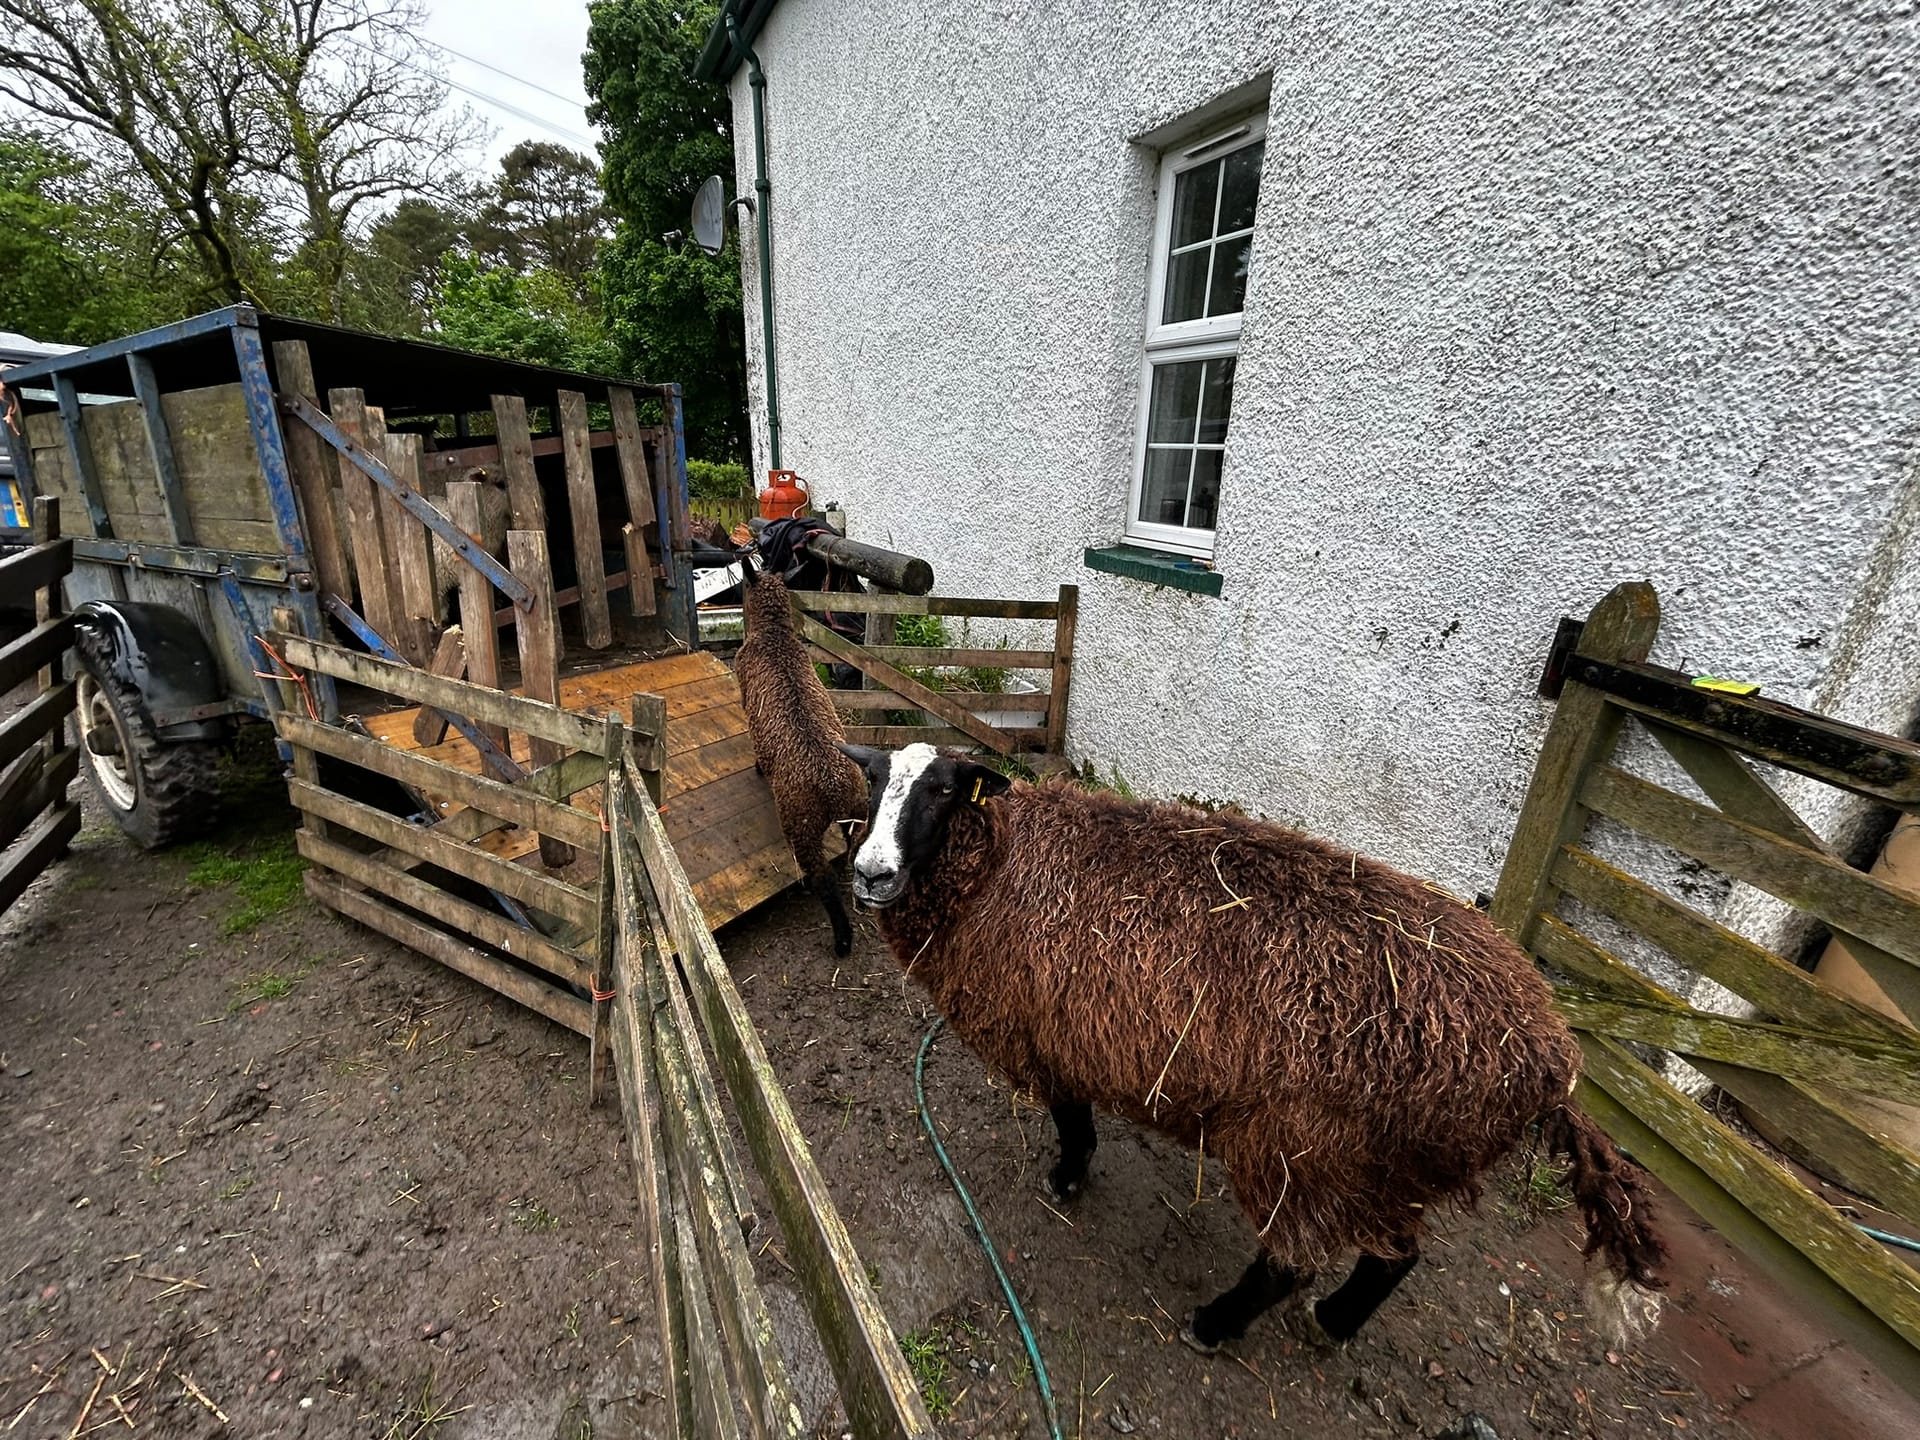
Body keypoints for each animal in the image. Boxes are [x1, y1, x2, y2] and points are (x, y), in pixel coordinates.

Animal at [735, 564, 868, 956]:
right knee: (855, 848)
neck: (774, 634)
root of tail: (833, 787)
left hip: (801, 821)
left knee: (822, 878)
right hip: (856, 811)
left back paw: (842, 940)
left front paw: (759, 768)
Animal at [837, 742, 1668, 1353]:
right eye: (871, 781)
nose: (871, 874)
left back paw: (1215, 1324)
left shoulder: (1052, 1036)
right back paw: (1335, 1324)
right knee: (1396, 1256)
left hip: (1311, 1151)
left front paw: (1067, 1178)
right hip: (1396, 1167)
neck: (997, 863)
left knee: (1289, 1266)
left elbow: (1072, 1120)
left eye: (944, 791)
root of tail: (1552, 1061)